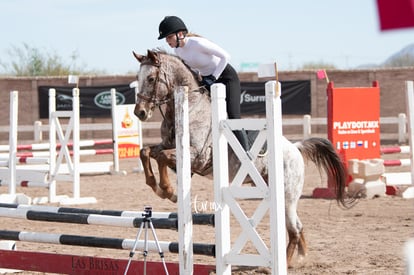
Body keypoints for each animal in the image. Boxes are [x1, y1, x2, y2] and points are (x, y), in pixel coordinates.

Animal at [132, 49, 352, 268]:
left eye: (151, 78)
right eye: (138, 78)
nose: (139, 112)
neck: (190, 108)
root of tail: (295, 148)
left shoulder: (198, 157)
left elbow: (161, 157)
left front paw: (168, 190)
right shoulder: (169, 147)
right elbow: (147, 152)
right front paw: (157, 185)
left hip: (287, 195)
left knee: (294, 228)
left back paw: (286, 263)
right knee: (297, 227)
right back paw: (300, 258)